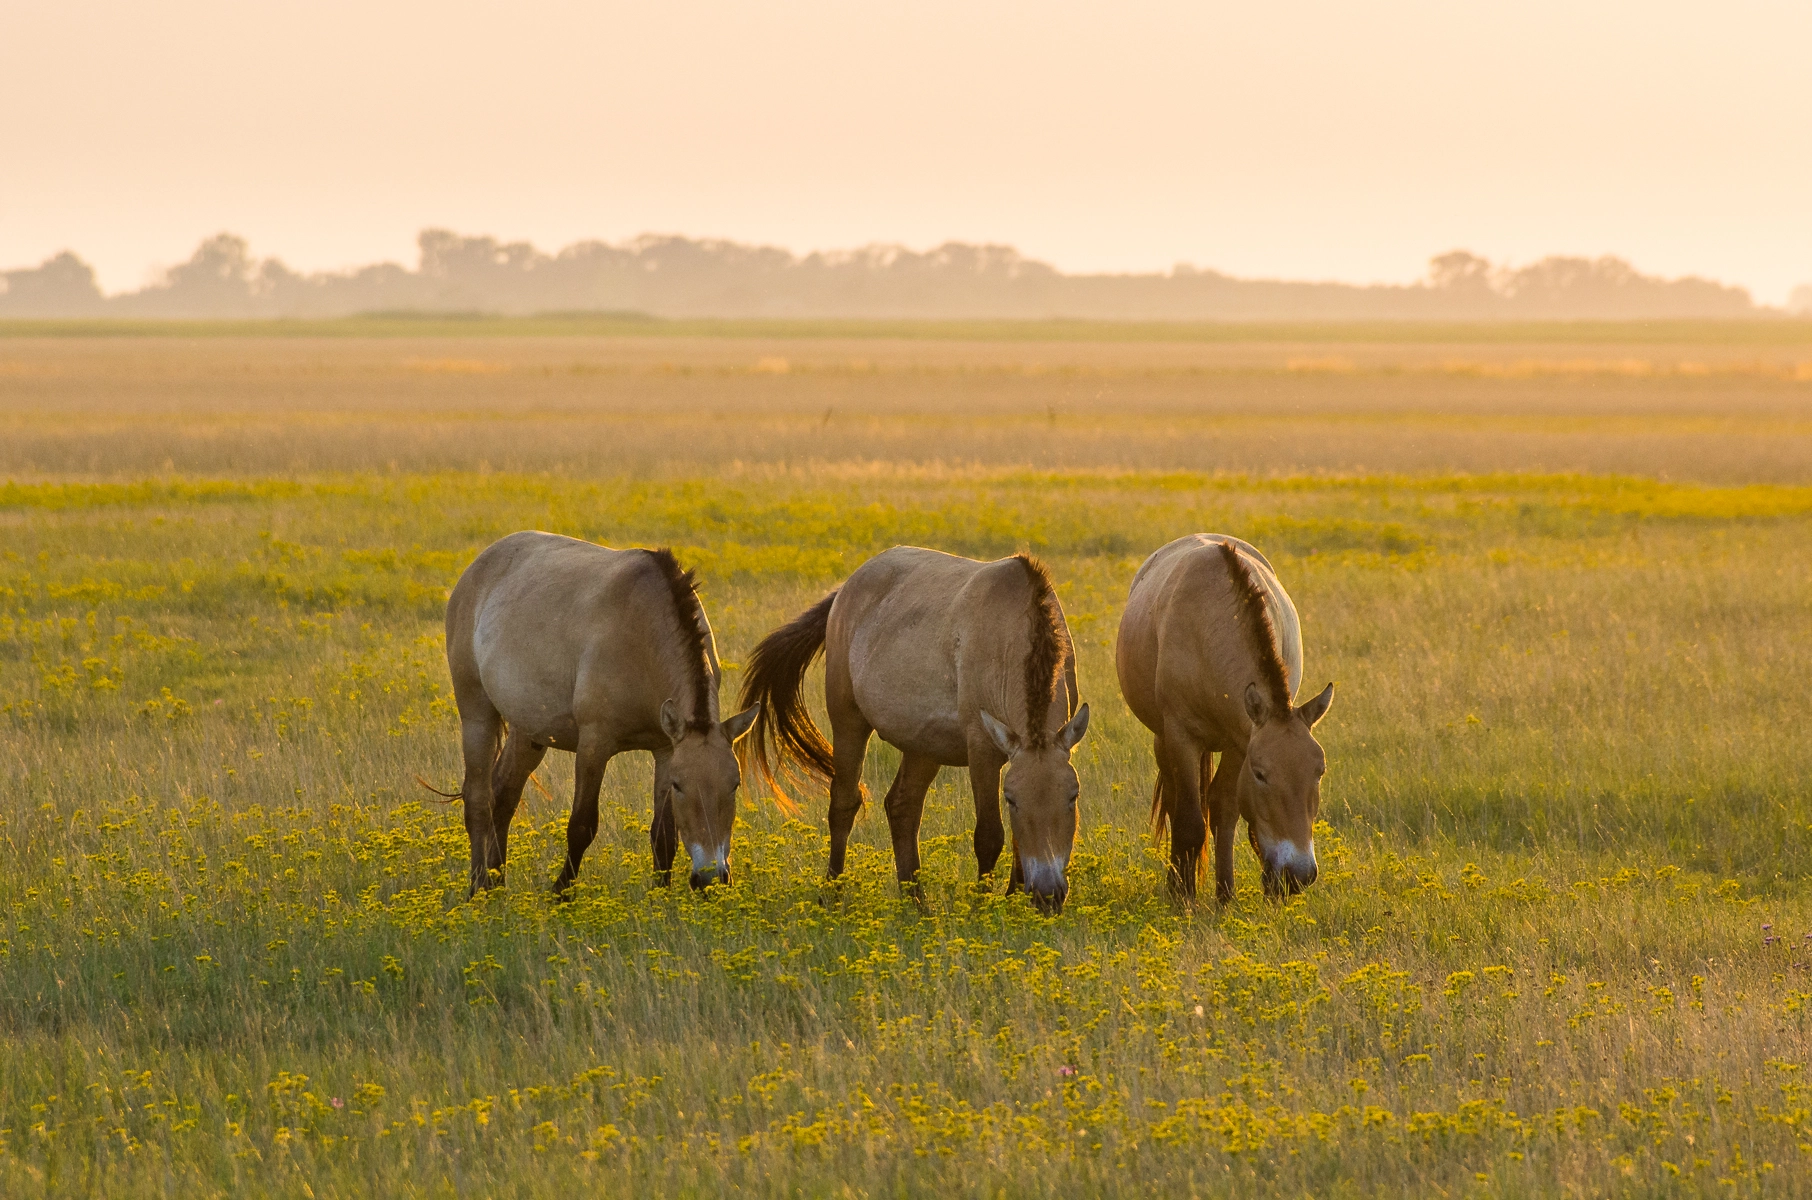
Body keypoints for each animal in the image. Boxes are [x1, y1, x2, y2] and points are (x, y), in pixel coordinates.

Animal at [445, 532, 757, 899]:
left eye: (734, 784)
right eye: (680, 786)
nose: (711, 878)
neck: (641, 631)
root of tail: (477, 567)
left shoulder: (666, 749)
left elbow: (663, 835)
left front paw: (661, 898)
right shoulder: (594, 745)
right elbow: (581, 826)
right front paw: (560, 893)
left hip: (528, 732)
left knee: (503, 796)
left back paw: (496, 883)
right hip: (477, 715)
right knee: (478, 801)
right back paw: (477, 889)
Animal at [735, 551, 1087, 917]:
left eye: (1072, 796)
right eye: (1013, 800)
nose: (1048, 894)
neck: (1011, 633)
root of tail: (846, 588)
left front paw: (1014, 899)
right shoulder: (982, 750)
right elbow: (989, 836)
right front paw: (982, 907)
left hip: (923, 747)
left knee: (902, 807)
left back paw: (916, 901)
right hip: (849, 721)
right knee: (844, 804)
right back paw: (831, 895)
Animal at [1108, 536, 1340, 902]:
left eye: (1320, 771)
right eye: (1260, 774)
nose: (1298, 874)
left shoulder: (1239, 742)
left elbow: (1224, 810)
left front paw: (1225, 895)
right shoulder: (1181, 736)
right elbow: (1189, 820)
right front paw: (1184, 898)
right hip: (1163, 740)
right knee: (1174, 801)